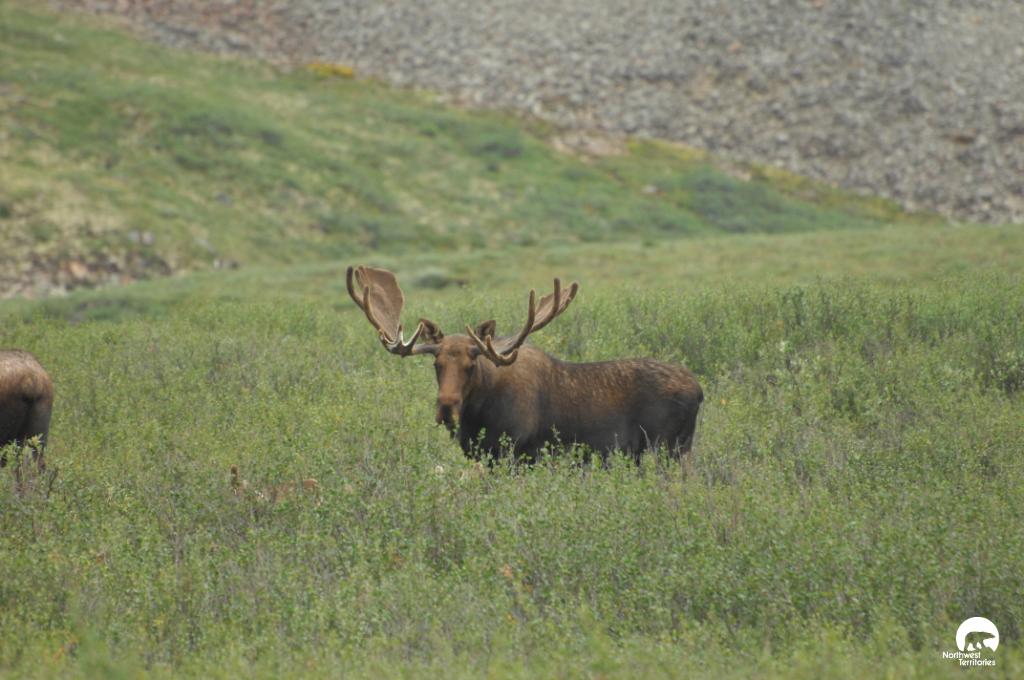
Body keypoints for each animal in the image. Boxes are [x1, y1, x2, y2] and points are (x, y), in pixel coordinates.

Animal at [346, 266, 703, 463]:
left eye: (471, 365)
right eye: (436, 362)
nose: (446, 407)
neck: (478, 416)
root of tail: (700, 391)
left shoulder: (517, 452)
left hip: (666, 449)